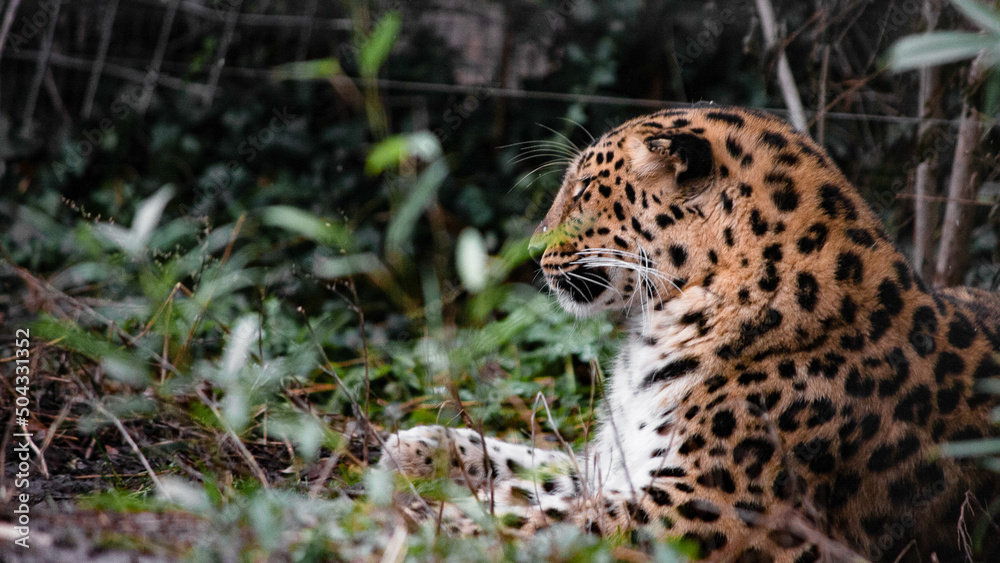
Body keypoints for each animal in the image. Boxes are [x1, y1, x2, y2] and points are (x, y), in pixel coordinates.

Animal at [378, 106, 1000, 562]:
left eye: (582, 191)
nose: (531, 250)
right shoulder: (623, 460)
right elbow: (539, 466)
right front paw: (417, 447)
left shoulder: (709, 508)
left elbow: (562, 520)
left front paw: (437, 530)